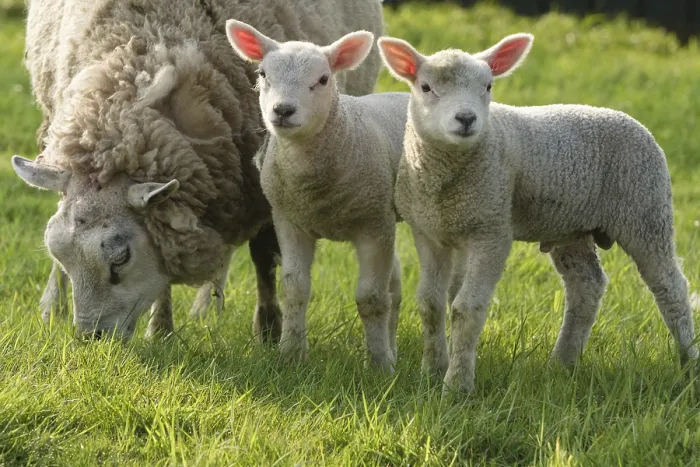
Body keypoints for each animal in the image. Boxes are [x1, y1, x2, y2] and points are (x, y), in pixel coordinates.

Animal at [12, 0, 385, 341]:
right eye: (60, 255)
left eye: (120, 259)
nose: (92, 338)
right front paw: (160, 331)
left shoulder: (261, 185)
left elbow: (263, 258)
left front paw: (268, 330)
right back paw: (53, 307)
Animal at [226, 20, 410, 371]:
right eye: (263, 74)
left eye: (323, 79)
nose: (283, 110)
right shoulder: (289, 221)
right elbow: (295, 288)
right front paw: (290, 354)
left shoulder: (373, 224)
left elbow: (371, 298)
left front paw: (379, 366)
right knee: (394, 286)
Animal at [378, 33, 698, 392]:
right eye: (426, 87)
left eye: (488, 86)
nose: (466, 119)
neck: (447, 180)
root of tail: (631, 120)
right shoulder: (429, 232)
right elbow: (430, 303)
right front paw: (431, 372)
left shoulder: (492, 230)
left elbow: (466, 308)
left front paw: (457, 385)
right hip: (572, 227)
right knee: (586, 286)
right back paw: (562, 363)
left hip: (646, 210)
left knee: (671, 288)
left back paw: (688, 362)